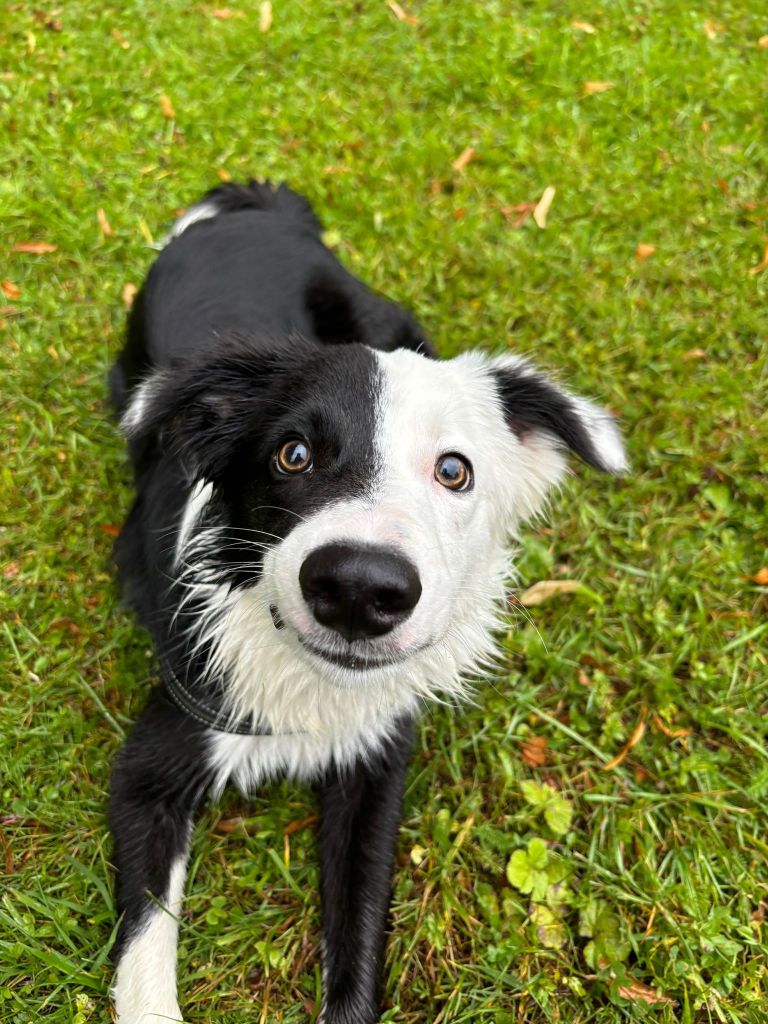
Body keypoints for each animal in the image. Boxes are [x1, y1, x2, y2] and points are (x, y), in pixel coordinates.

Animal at [107, 182, 626, 1024]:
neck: (313, 687)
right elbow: (147, 960)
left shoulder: (376, 771)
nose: (358, 587)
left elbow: (356, 942)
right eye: (292, 454)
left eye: (455, 470)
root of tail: (251, 208)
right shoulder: (151, 767)